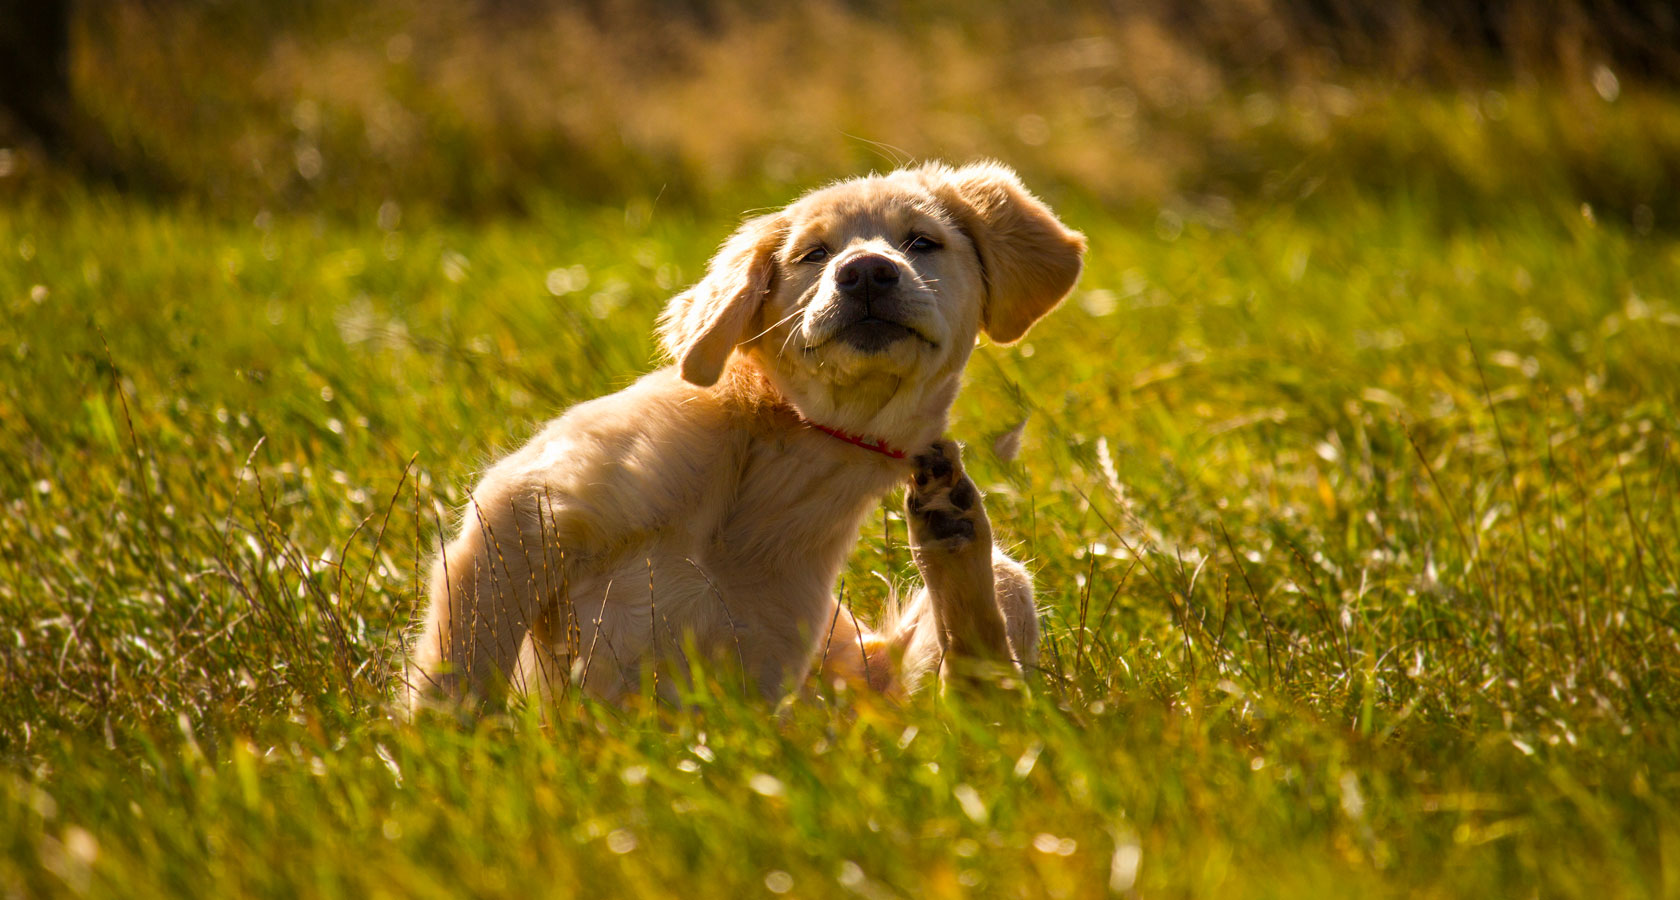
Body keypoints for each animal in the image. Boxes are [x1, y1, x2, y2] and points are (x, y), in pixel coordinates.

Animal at [408, 162, 1088, 708]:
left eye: (923, 242)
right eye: (813, 254)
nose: (867, 273)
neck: (786, 454)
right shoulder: (523, 510)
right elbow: (460, 673)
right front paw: (446, 757)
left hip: (968, 613)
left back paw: (950, 525)